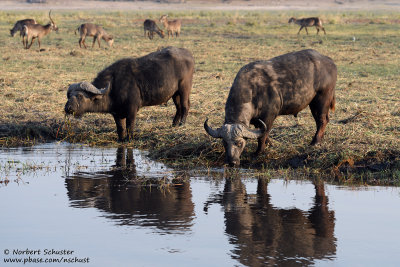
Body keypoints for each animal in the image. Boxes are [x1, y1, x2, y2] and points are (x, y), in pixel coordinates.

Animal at [65, 46, 195, 142]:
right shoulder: (116, 113)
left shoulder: (132, 110)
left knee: (185, 106)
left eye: (80, 96)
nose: (68, 108)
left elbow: (129, 126)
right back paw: (174, 124)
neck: (113, 87)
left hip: (184, 88)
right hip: (175, 93)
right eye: (69, 96)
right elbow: (120, 128)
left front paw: (129, 139)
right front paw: (121, 139)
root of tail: (188, 53)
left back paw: (182, 124)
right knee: (178, 107)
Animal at [205, 49, 336, 168]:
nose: (232, 162)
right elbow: (262, 133)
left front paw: (258, 152)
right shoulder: (258, 121)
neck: (253, 92)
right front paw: (269, 144)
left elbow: (263, 135)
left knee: (322, 120)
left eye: (239, 143)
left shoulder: (269, 116)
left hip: (321, 100)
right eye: (224, 143)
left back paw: (315, 142)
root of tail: (329, 61)